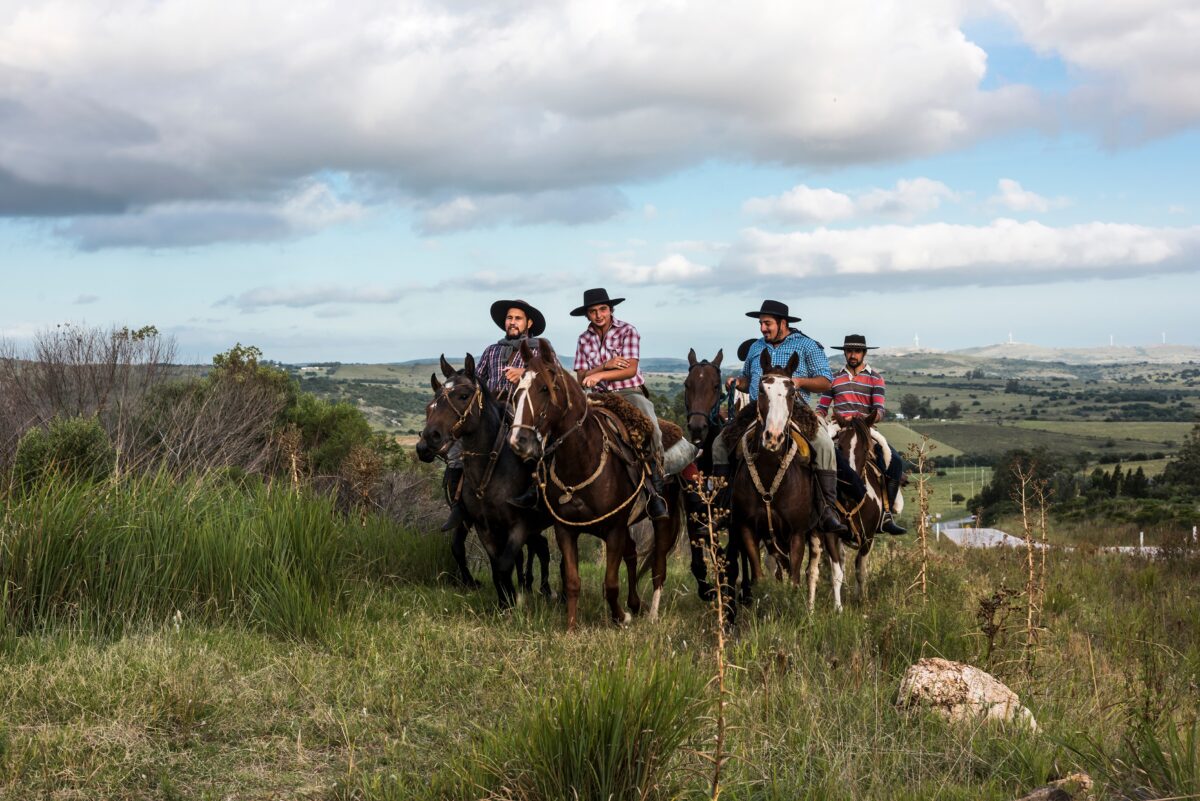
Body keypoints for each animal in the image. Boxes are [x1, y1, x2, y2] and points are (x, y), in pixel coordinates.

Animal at [417, 352, 552, 604]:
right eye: (431, 403)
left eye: (463, 396)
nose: (427, 442)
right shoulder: (482, 526)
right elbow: (492, 564)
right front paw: (503, 599)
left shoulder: (518, 526)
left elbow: (504, 565)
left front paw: (512, 601)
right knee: (540, 547)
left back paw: (546, 589)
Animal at [506, 338, 686, 633]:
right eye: (518, 391)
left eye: (544, 388)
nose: (518, 441)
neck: (581, 462)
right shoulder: (565, 530)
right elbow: (572, 581)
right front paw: (571, 628)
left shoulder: (614, 529)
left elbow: (610, 583)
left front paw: (620, 618)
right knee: (633, 555)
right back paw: (635, 604)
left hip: (664, 520)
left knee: (658, 566)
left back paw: (652, 613)